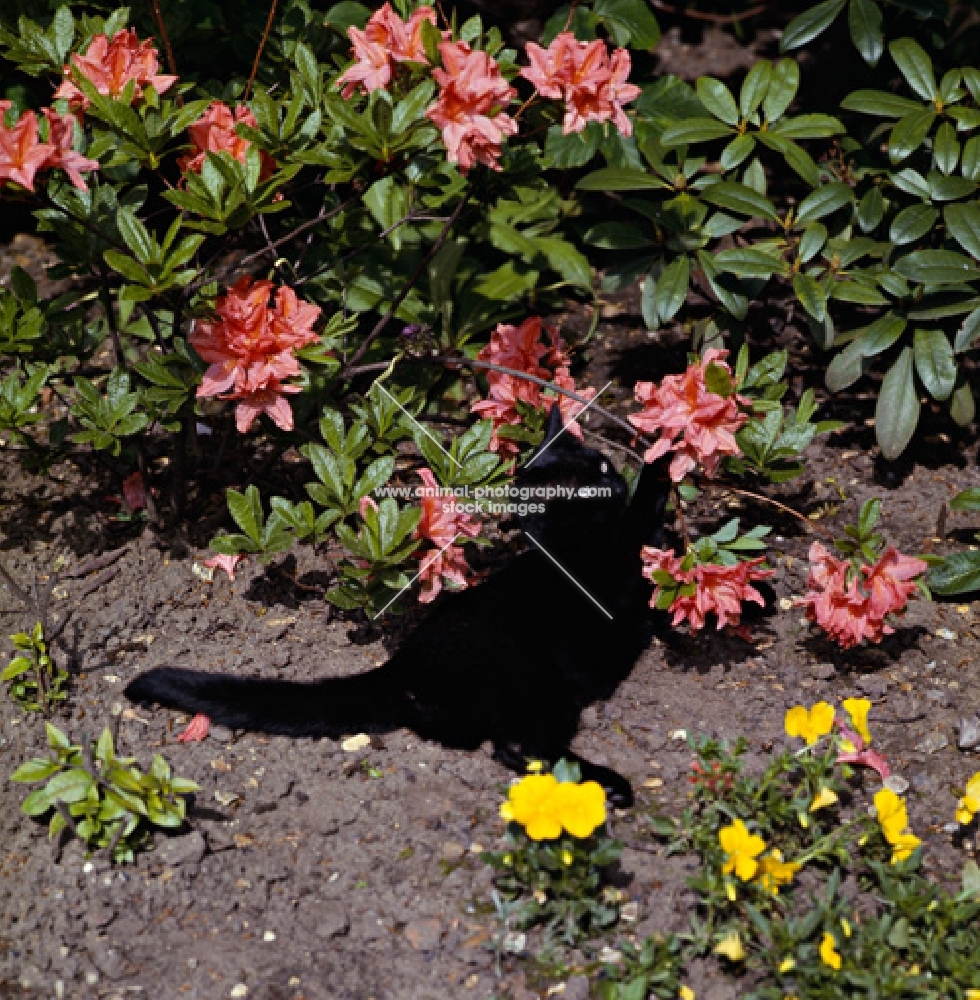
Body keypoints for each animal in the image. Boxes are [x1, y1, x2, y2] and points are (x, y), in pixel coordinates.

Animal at [126, 404, 668, 804]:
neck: (566, 546)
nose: (616, 482)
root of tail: (402, 665)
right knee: (520, 745)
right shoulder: (626, 555)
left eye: (603, 465)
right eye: (590, 482)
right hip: (537, 684)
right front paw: (664, 449)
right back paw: (610, 785)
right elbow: (648, 508)